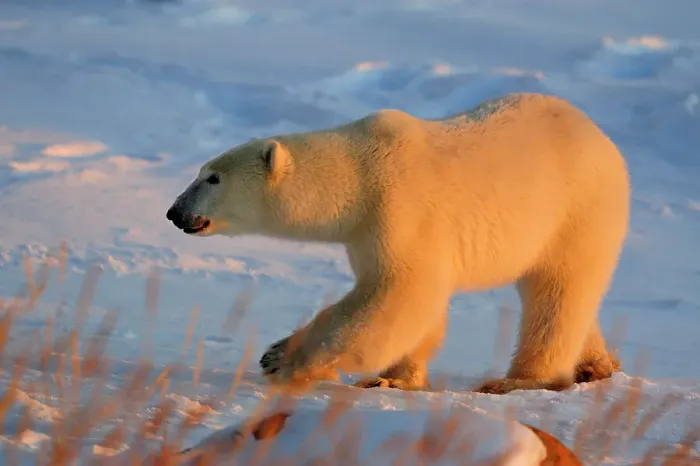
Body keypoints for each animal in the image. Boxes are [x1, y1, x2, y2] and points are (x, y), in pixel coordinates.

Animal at [166, 92, 629, 395]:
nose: (174, 212)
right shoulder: (363, 233)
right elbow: (414, 306)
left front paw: (280, 357)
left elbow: (399, 293)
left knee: (557, 292)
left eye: (212, 178)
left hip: (576, 210)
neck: (357, 175)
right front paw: (394, 377)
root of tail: (605, 140)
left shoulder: (399, 208)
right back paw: (595, 366)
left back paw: (518, 380)